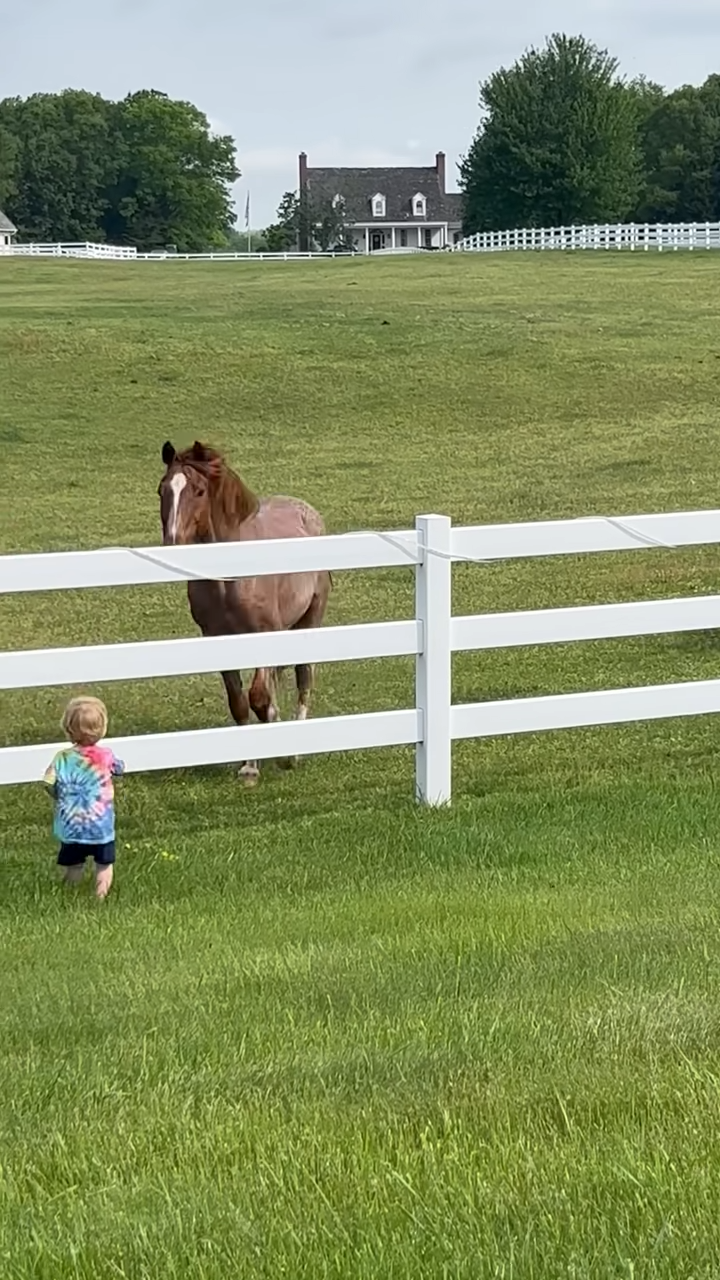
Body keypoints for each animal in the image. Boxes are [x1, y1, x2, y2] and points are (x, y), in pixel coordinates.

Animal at [156, 440, 330, 778]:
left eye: (199, 491)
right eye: (161, 490)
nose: (173, 543)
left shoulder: (264, 632)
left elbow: (259, 698)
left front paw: (271, 753)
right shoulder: (219, 639)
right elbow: (239, 702)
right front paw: (250, 765)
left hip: (310, 619)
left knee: (304, 676)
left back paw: (294, 752)